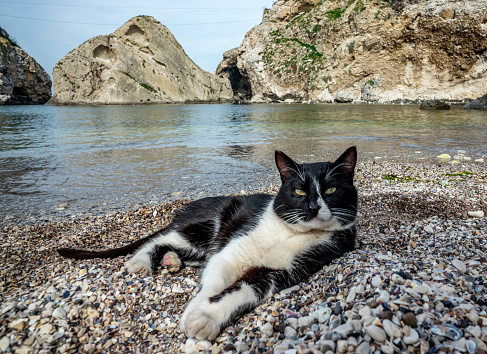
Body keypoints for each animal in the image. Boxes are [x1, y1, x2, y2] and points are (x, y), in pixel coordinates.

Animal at [59, 146, 360, 340]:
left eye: (331, 189)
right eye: (299, 191)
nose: (313, 207)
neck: (288, 232)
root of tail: (184, 209)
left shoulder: (292, 263)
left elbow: (246, 288)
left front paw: (207, 319)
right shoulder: (234, 247)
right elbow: (215, 279)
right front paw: (196, 309)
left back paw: (172, 260)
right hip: (207, 224)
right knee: (161, 239)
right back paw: (142, 261)